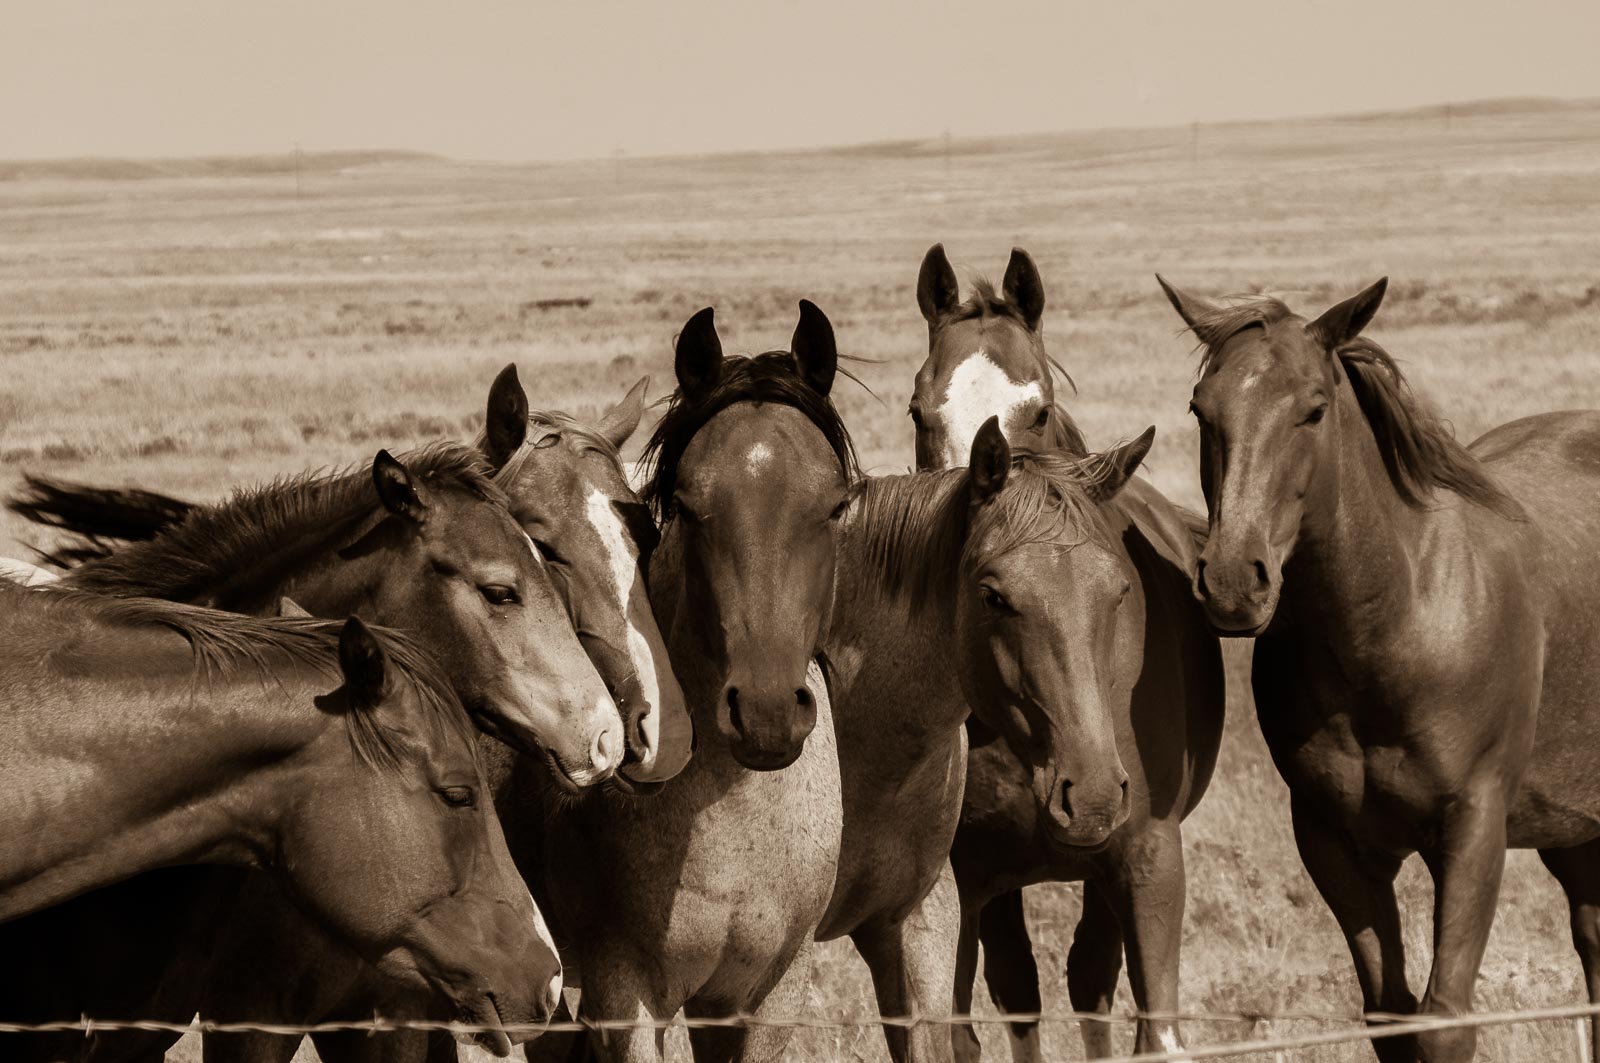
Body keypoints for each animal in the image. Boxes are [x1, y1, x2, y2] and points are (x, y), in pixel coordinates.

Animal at [913, 244, 1225, 1060]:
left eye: (1040, 407)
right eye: (920, 411)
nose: (983, 491)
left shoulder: (1148, 859)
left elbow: (1152, 1024)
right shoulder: (966, 881)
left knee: (1089, 978)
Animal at [1158, 275, 1600, 1062]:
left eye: (1313, 408)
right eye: (1200, 408)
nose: (1235, 581)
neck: (1397, 620)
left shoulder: (1473, 829)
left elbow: (1445, 1017)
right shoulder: (1335, 842)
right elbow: (1391, 1015)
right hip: (1573, 832)